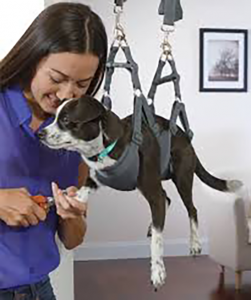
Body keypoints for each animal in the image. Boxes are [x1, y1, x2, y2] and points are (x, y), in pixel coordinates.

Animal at [39, 95, 243, 290]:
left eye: (66, 119)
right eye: (54, 117)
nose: (39, 133)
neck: (105, 148)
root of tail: (186, 138)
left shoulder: (153, 194)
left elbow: (158, 241)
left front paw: (158, 272)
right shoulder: (96, 180)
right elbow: (80, 192)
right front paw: (62, 200)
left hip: (182, 178)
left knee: (191, 209)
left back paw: (194, 243)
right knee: (167, 199)